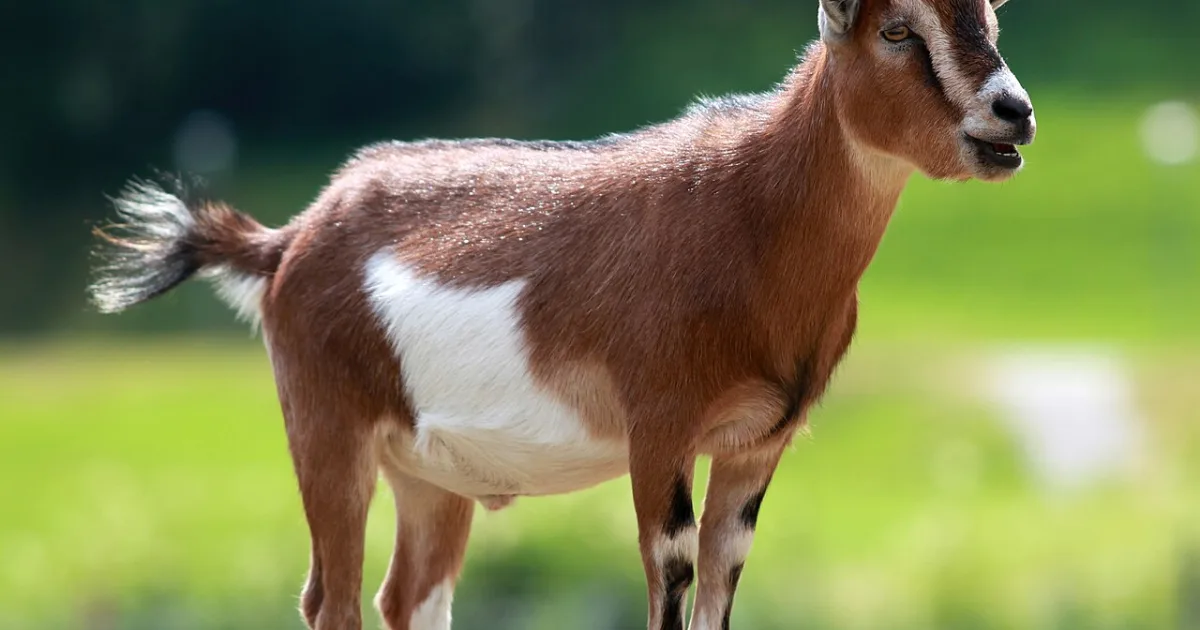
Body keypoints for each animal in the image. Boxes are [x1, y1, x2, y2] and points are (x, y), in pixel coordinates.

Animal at [89, 0, 1035, 628]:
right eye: (897, 28)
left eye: (990, 13)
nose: (1013, 113)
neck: (750, 215)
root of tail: (287, 240)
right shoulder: (659, 429)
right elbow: (671, 574)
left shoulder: (756, 444)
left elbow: (722, 579)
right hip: (327, 429)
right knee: (333, 598)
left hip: (428, 474)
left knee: (408, 595)